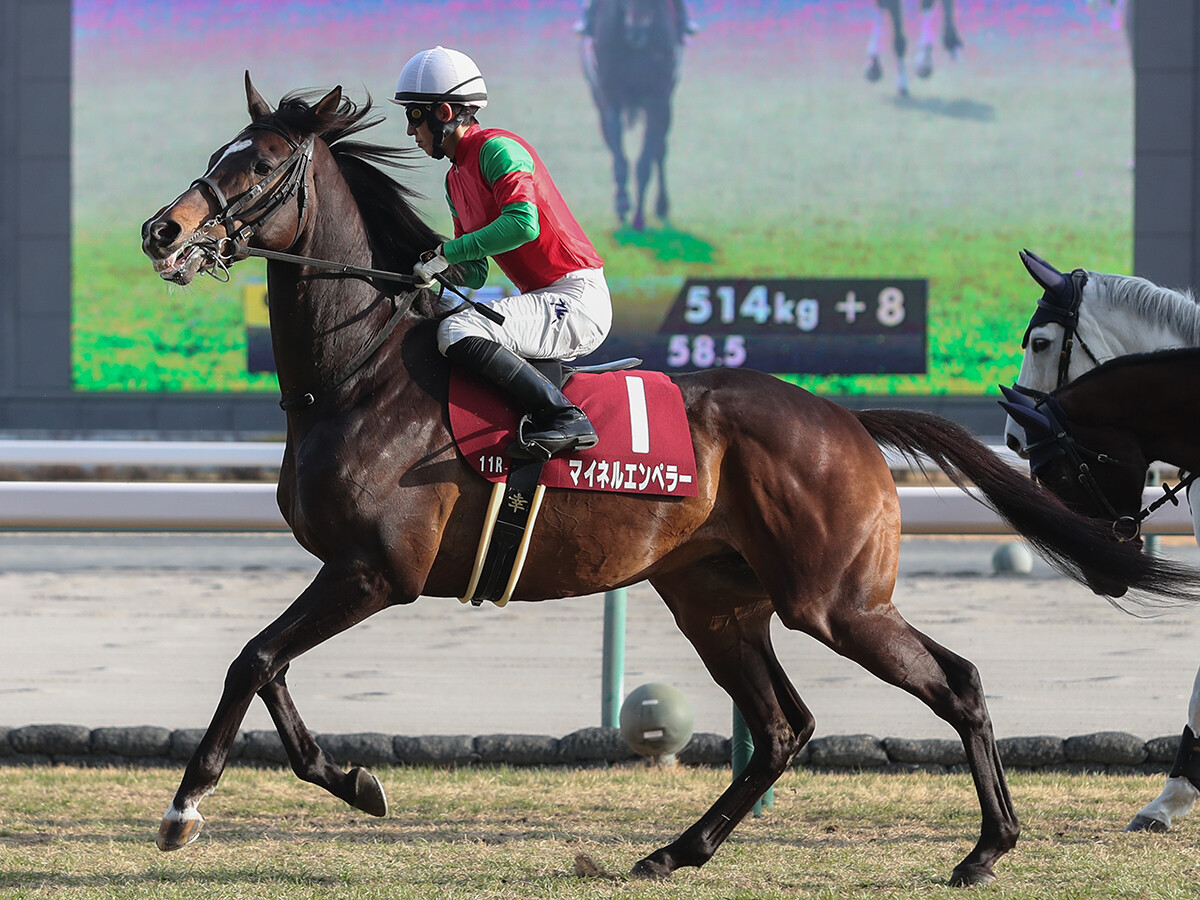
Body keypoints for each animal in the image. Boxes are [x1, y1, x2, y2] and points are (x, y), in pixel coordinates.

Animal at [581, 0, 681, 230]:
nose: (636, 31)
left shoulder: (658, 100)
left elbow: (645, 161)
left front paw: (639, 217)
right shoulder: (609, 99)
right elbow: (619, 158)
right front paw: (622, 205)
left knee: (659, 151)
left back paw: (661, 205)